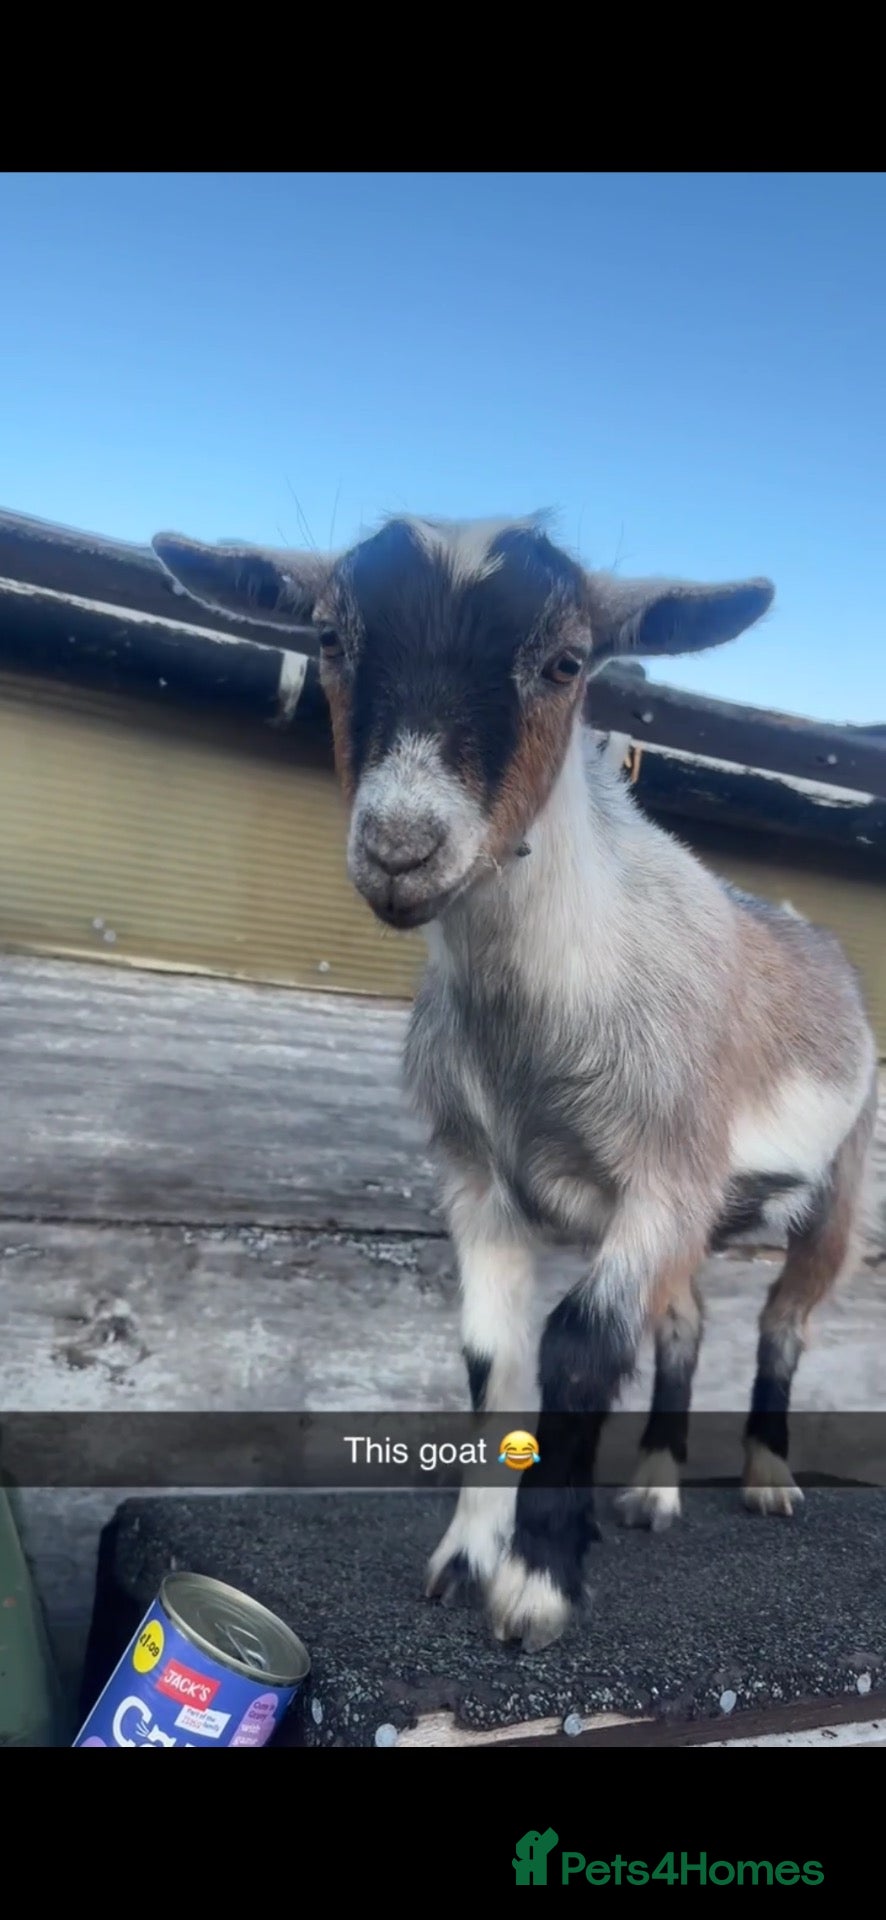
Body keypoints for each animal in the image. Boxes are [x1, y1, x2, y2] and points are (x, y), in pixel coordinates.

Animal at [153, 514, 878, 1654]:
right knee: (682, 1325)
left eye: (568, 662)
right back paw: (656, 1486)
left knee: (784, 1324)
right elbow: (491, 1356)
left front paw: (536, 1584)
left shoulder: (665, 1173)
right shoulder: (479, 1180)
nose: (401, 847)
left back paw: (765, 1475)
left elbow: (578, 1346)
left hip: (836, 1184)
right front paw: (466, 1555)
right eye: (328, 637)